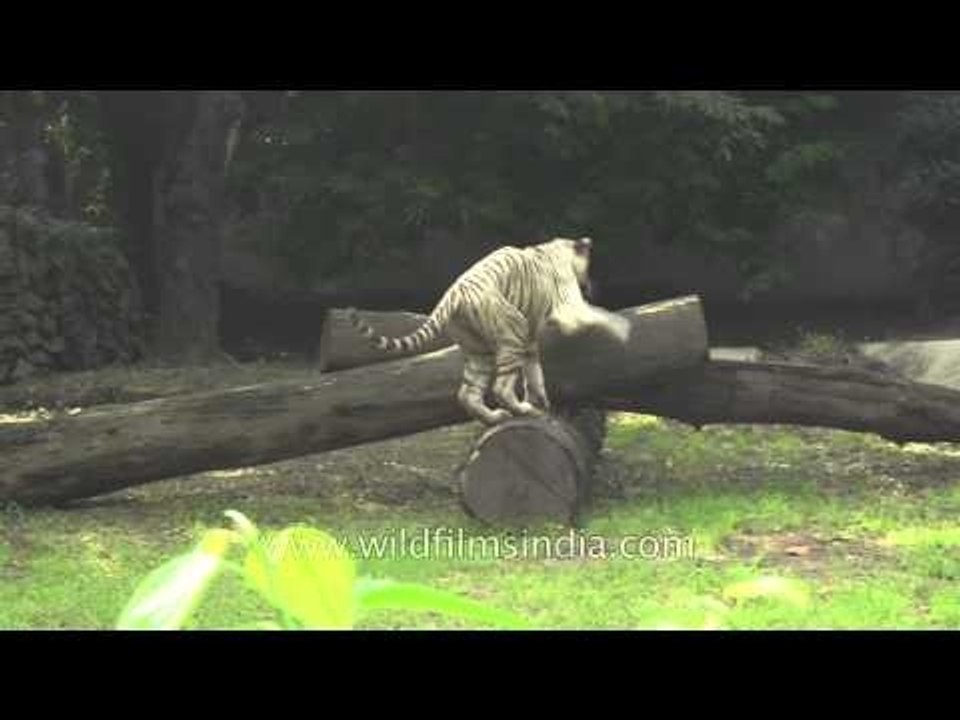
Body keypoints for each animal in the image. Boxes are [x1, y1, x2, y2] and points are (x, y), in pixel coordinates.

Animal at [346, 236, 629, 426]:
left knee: (467, 394)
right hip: (512, 331)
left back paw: (495, 418)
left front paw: (542, 401)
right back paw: (523, 411)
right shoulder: (568, 307)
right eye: (590, 265)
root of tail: (454, 294)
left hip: (478, 350)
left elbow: (534, 374)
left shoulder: (530, 342)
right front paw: (624, 328)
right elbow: (600, 314)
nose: (592, 284)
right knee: (500, 388)